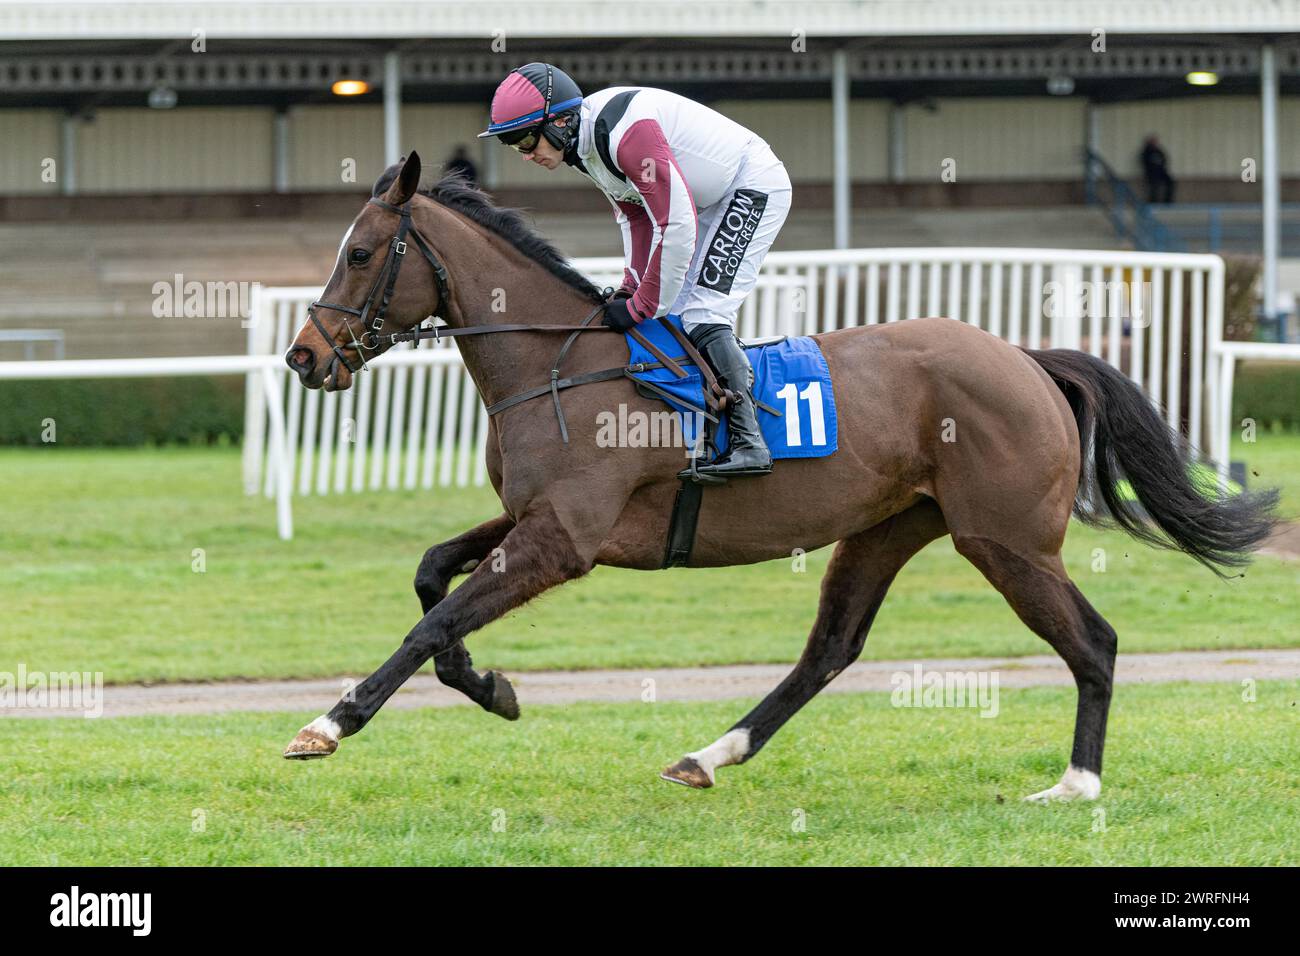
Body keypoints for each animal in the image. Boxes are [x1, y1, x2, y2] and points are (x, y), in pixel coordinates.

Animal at [282, 155, 1268, 801]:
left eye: (361, 254)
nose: (303, 357)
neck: (557, 364)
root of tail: (1025, 358)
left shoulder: (564, 539)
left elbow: (436, 616)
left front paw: (330, 723)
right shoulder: (535, 518)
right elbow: (431, 580)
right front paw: (490, 687)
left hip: (1007, 540)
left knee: (1093, 642)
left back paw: (1077, 783)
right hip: (887, 528)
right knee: (829, 650)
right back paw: (710, 755)